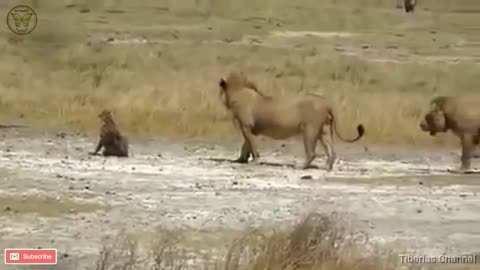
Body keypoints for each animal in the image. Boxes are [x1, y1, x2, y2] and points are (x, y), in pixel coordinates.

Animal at [218, 71, 364, 171]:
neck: (238, 91)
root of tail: (326, 102)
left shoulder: (246, 127)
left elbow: (251, 145)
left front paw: (254, 160)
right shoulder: (251, 129)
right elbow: (246, 145)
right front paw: (240, 160)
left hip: (309, 130)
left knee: (312, 153)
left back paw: (301, 166)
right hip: (325, 130)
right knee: (331, 151)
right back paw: (327, 167)